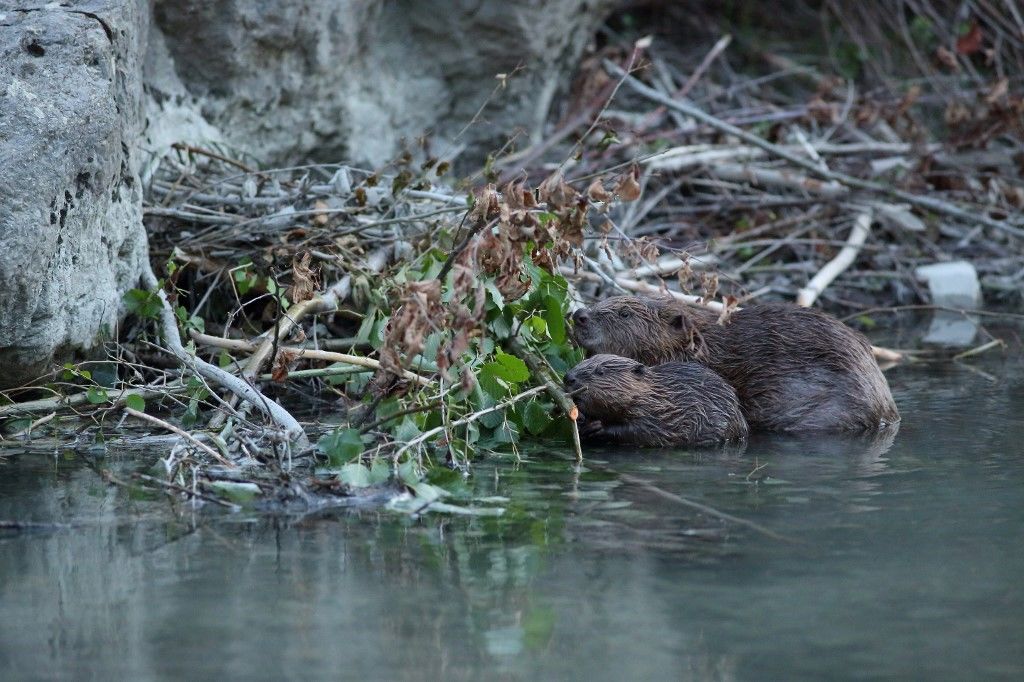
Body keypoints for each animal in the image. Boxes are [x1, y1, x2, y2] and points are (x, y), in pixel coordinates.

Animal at [565, 350, 749, 446]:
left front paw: (597, 427)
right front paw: (581, 420)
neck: (657, 395)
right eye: (583, 361)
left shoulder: (658, 415)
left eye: (601, 372)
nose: (568, 378)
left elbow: (644, 431)